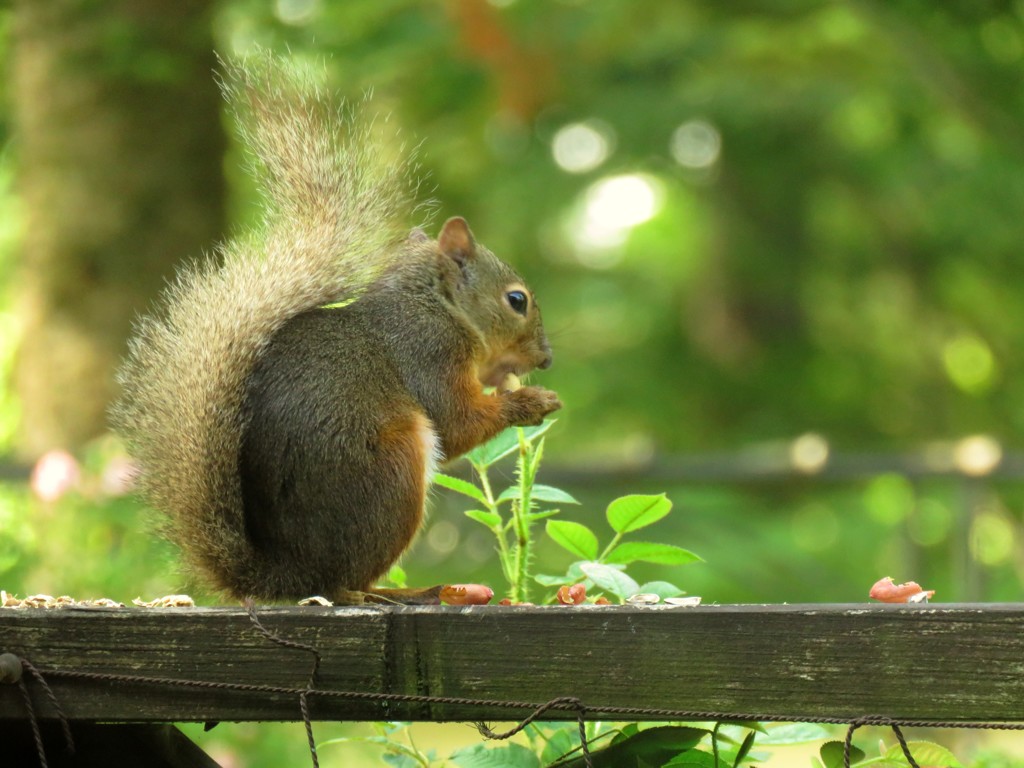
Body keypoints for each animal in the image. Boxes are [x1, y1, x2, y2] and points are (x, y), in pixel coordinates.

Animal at [114, 55, 561, 606]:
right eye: (517, 300)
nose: (545, 358)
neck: (433, 304)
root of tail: (289, 574)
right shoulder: (429, 351)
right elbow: (457, 423)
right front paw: (531, 402)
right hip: (392, 472)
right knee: (345, 584)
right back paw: (399, 592)